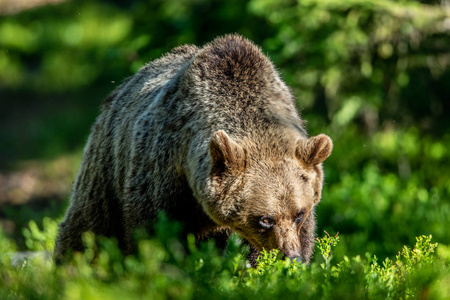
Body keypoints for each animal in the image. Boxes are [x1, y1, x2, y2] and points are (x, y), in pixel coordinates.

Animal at [54, 34, 332, 264]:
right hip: (107, 164)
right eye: (265, 219)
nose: (291, 257)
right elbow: (155, 233)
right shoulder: (163, 171)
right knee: (89, 225)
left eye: (299, 213)